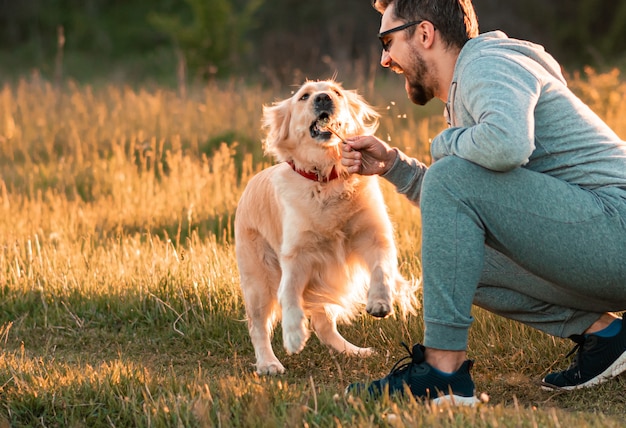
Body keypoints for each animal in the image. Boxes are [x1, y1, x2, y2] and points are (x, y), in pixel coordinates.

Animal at [232, 80, 412, 374]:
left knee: (324, 324)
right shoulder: (296, 254)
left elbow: (381, 268)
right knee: (258, 326)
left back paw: (353, 351)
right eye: (304, 96)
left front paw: (380, 301)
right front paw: (293, 335)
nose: (323, 98)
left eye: (337, 92)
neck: (326, 177)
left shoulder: (374, 234)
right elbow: (289, 294)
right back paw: (269, 363)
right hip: (258, 278)